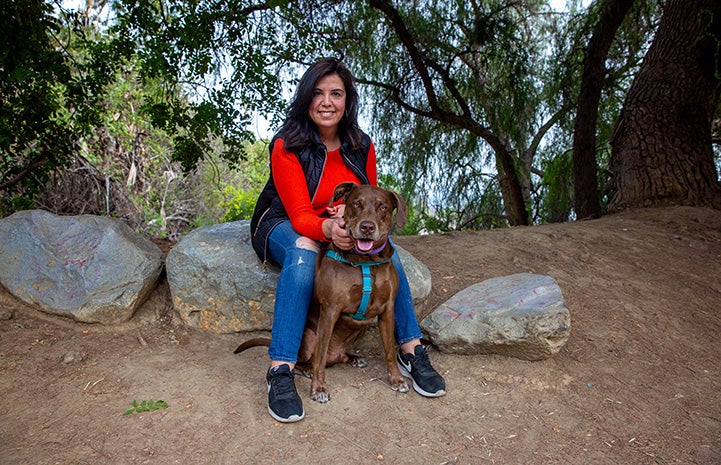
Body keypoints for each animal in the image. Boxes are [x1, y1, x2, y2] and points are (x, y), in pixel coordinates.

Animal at [233, 183, 408, 400]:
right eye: (356, 204)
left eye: (382, 207)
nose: (367, 227)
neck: (365, 261)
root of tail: (337, 355)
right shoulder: (330, 309)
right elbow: (320, 356)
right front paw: (318, 388)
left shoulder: (387, 310)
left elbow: (390, 350)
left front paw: (397, 379)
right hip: (309, 338)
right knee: (307, 359)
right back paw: (307, 369)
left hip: (362, 327)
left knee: (337, 356)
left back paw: (353, 357)